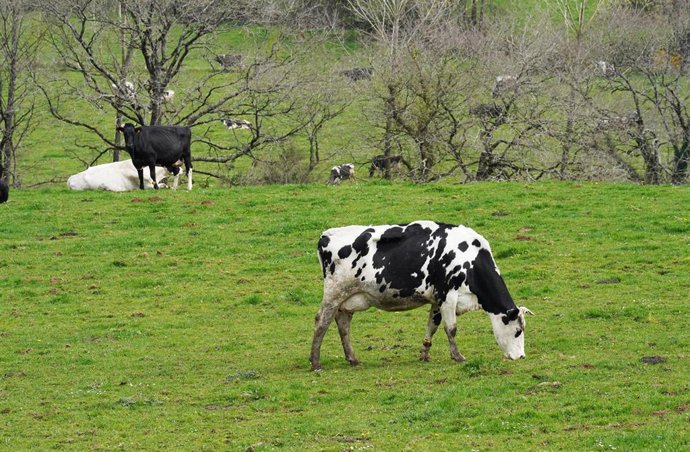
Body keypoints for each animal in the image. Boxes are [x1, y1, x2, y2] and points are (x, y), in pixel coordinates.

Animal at [310, 221, 533, 371]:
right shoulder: (447, 296)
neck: (469, 259)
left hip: (349, 298)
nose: (522, 356)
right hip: (334, 292)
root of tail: (327, 234)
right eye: (517, 331)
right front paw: (457, 356)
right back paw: (315, 362)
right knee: (322, 321)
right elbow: (451, 329)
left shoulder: (437, 299)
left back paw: (352, 358)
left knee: (343, 324)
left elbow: (432, 326)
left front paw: (425, 353)